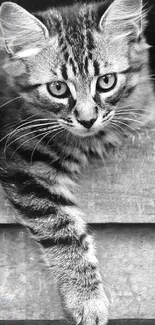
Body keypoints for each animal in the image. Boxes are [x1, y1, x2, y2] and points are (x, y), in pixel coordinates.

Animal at [0, 0, 154, 322]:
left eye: (106, 82)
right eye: (58, 88)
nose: (86, 119)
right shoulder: (24, 163)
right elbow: (62, 229)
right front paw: (86, 299)